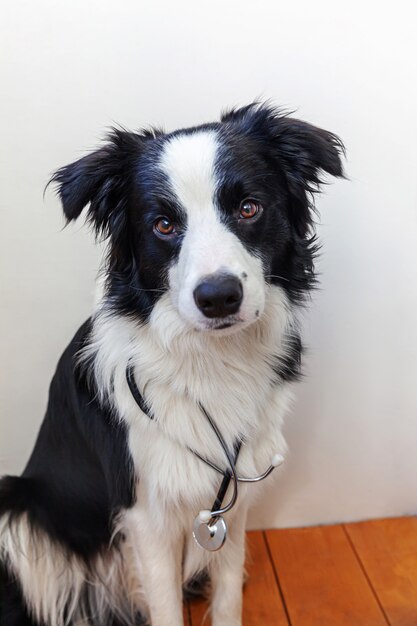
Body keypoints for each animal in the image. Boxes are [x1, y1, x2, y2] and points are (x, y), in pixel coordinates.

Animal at [1, 103, 342, 624]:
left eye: (248, 208)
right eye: (163, 224)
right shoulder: (147, 515)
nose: (218, 297)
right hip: (16, 510)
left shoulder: (231, 505)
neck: (211, 361)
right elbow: (166, 607)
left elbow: (227, 594)